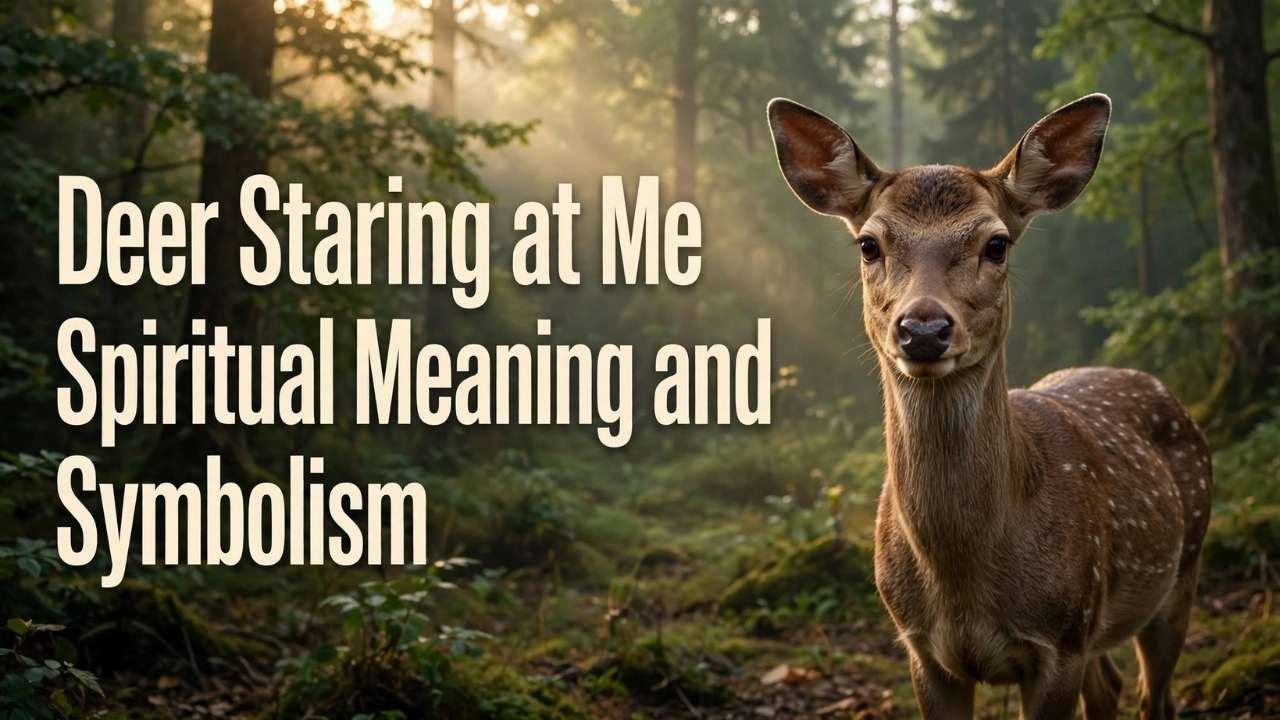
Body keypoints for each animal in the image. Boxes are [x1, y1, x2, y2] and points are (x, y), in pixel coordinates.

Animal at [766, 94, 1213, 720]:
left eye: (996, 244)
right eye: (869, 244)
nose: (923, 329)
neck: (965, 581)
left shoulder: (1059, 640)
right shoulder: (922, 650)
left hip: (1181, 568)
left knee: (1157, 693)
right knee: (1110, 686)